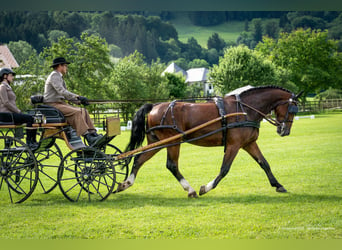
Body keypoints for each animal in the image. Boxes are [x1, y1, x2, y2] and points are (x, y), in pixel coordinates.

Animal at [117, 86, 302, 197]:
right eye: (292, 109)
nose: (285, 131)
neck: (245, 109)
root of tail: (154, 106)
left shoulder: (248, 144)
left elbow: (264, 163)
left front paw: (278, 185)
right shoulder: (234, 145)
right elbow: (224, 169)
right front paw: (206, 188)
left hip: (158, 142)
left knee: (139, 159)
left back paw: (126, 183)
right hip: (173, 142)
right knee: (172, 165)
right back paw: (190, 189)